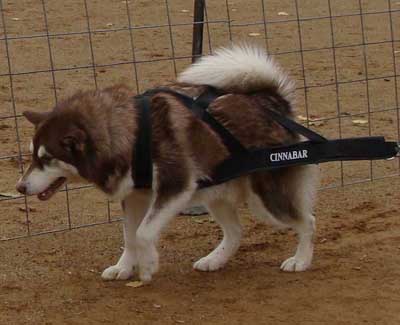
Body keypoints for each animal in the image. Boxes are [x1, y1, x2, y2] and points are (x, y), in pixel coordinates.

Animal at [15, 45, 318, 280]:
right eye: (32, 155)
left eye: (47, 158)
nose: (19, 187)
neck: (132, 133)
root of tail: (271, 101)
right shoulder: (135, 196)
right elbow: (129, 236)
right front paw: (124, 267)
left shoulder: (175, 187)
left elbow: (143, 233)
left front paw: (148, 265)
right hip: (217, 192)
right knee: (235, 232)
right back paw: (215, 260)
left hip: (265, 199)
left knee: (307, 221)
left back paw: (301, 260)